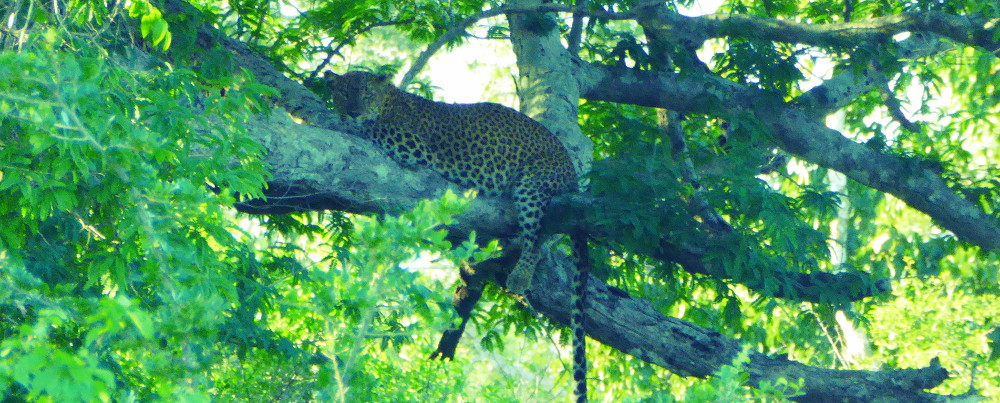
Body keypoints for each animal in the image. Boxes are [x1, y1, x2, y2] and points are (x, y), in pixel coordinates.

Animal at [328, 71, 588, 402]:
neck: (390, 101)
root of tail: (573, 175)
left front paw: (343, 124)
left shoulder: (412, 144)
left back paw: (519, 276)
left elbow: (372, 129)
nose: (352, 111)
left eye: (366, 96)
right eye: (343, 94)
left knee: (538, 240)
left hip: (533, 185)